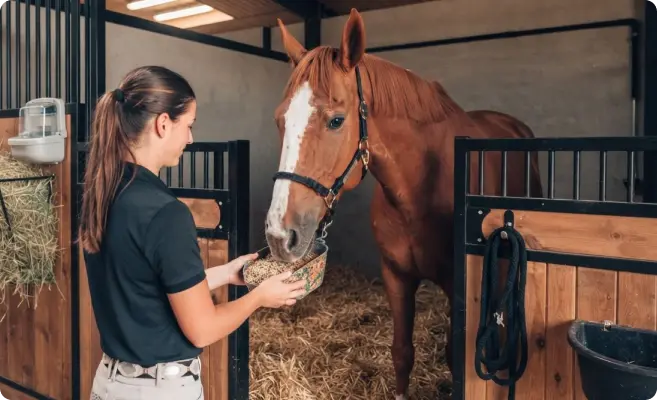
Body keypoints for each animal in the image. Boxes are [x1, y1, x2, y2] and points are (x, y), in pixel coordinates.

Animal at [264, 8, 543, 399]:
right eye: (280, 120)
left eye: (336, 120)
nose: (279, 235)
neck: (418, 192)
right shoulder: (395, 275)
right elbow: (401, 352)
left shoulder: (456, 284)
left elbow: (455, 356)